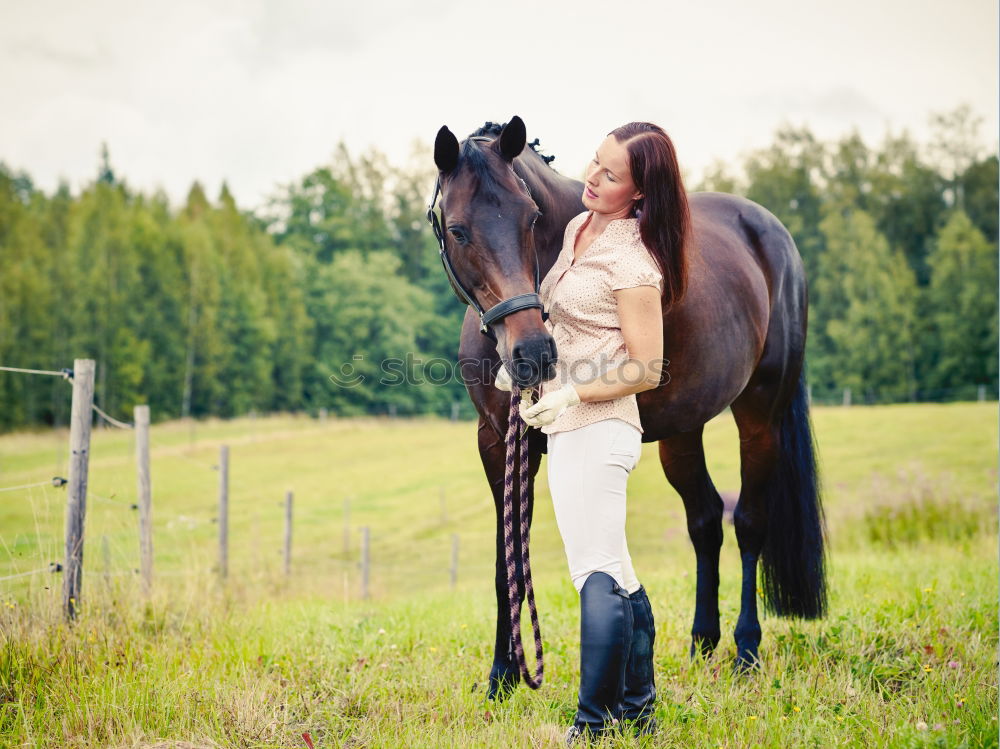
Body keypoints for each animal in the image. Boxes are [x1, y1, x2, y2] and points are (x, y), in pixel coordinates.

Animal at [430, 115, 828, 696]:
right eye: (458, 229)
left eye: (530, 218)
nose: (533, 355)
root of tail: (771, 234)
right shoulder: (496, 441)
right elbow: (509, 559)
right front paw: (503, 676)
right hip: (683, 430)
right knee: (705, 519)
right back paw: (701, 642)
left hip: (761, 417)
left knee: (749, 522)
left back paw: (746, 649)